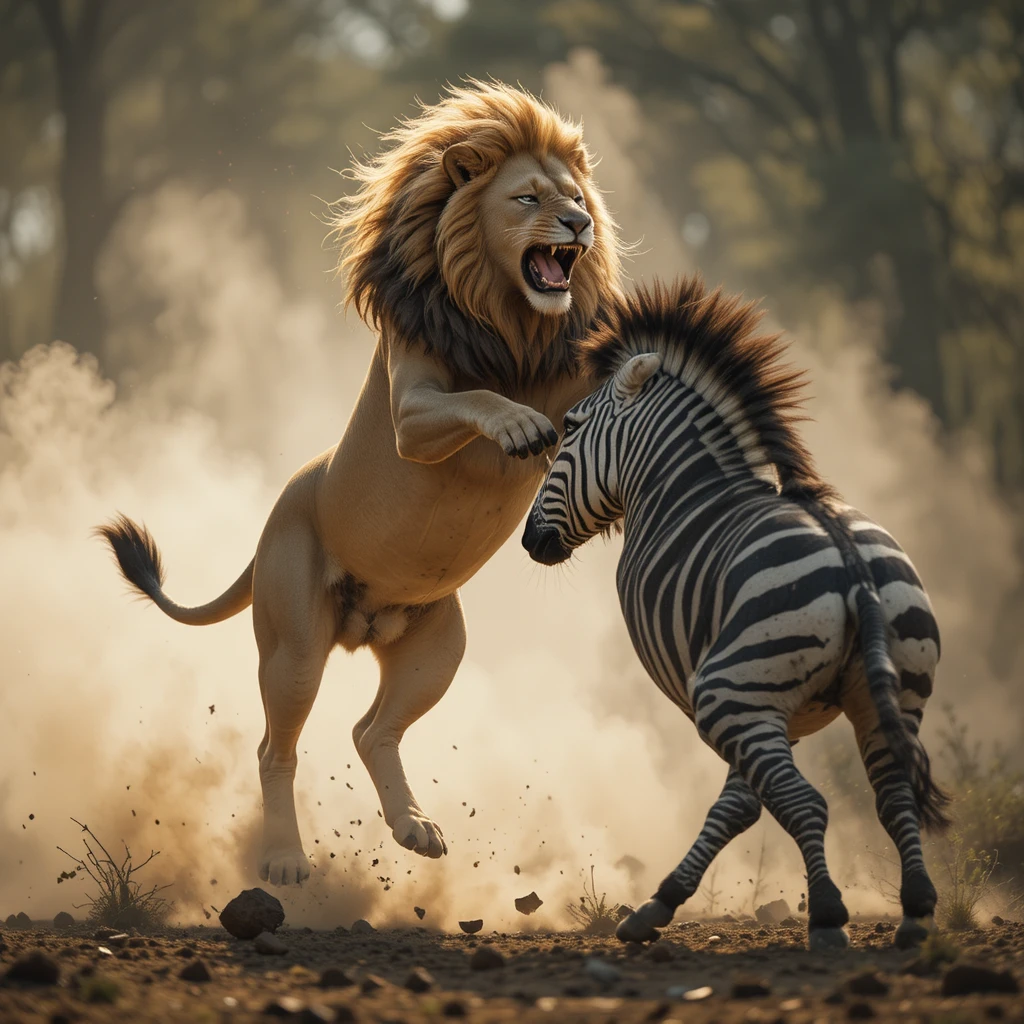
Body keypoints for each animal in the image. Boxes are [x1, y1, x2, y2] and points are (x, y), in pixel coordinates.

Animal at [99, 81, 622, 886]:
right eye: (529, 198)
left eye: (573, 195)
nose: (580, 223)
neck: (509, 320)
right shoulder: (412, 408)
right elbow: (479, 401)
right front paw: (517, 427)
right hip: (294, 648)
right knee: (274, 749)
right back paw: (285, 859)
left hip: (439, 647)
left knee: (371, 730)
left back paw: (414, 828)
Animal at [522, 277, 949, 952]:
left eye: (571, 425)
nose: (529, 539)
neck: (677, 480)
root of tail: (847, 554)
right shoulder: (774, 713)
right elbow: (739, 805)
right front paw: (660, 905)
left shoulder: (739, 702)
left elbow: (745, 804)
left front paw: (656, 907)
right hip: (890, 692)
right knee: (892, 793)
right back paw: (916, 912)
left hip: (728, 691)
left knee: (810, 804)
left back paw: (828, 916)